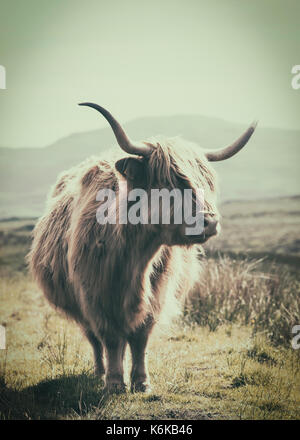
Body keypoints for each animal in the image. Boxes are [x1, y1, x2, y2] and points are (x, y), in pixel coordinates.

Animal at [28, 105, 255, 394]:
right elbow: (110, 338)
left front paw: (141, 382)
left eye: (207, 183)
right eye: (169, 182)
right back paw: (100, 372)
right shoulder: (95, 296)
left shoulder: (156, 295)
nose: (211, 221)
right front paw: (114, 382)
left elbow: (140, 338)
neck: (134, 257)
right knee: (94, 339)